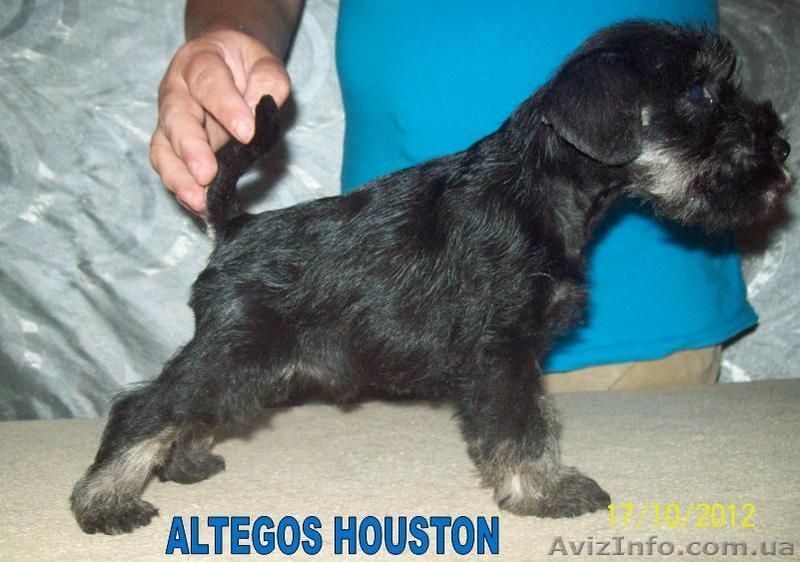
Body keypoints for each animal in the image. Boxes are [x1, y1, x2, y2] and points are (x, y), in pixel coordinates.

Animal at [71, 21, 792, 534]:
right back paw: (104, 500)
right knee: (145, 408)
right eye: (699, 93)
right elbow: (522, 428)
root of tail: (236, 227)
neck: (538, 188)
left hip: (249, 367)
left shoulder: (512, 355)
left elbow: (525, 424)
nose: (781, 147)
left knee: (188, 410)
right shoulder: (501, 353)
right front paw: (547, 491)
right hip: (235, 350)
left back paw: (183, 461)